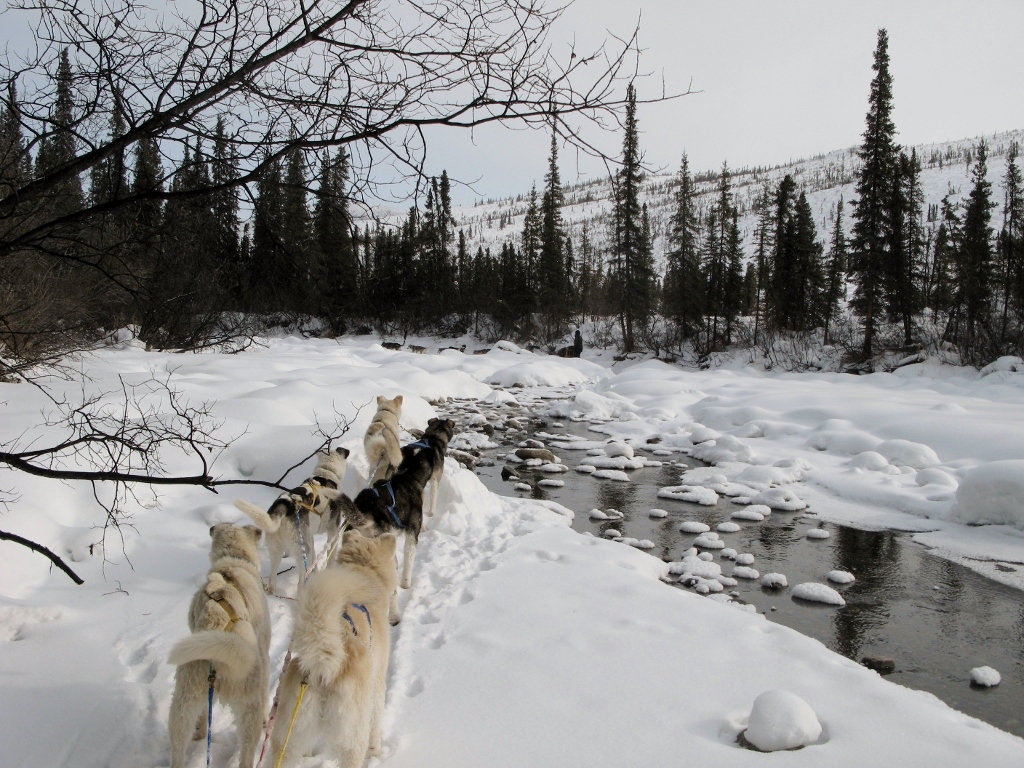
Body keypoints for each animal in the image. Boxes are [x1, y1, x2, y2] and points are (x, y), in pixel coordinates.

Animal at [232, 444, 348, 593]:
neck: (325, 473)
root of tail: (287, 503)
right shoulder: (333, 531)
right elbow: (329, 557)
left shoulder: (310, 537)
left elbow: (314, 561)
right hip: (301, 549)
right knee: (300, 582)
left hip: (278, 548)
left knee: (273, 577)